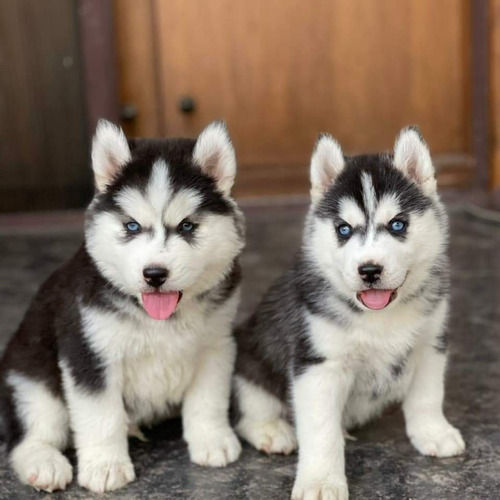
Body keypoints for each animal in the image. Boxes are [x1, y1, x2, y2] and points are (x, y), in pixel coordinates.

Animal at [0, 121, 245, 492]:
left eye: (187, 226)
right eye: (132, 226)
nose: (155, 274)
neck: (160, 318)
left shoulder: (215, 345)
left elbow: (208, 398)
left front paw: (212, 439)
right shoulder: (89, 353)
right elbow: (101, 415)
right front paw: (105, 465)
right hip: (31, 377)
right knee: (29, 434)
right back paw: (44, 463)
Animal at [234, 128, 464, 500]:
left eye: (397, 224)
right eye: (343, 229)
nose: (369, 270)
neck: (381, 317)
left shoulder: (431, 343)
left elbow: (428, 395)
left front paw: (433, 432)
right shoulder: (319, 365)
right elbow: (320, 431)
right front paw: (320, 481)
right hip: (249, 359)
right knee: (249, 408)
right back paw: (271, 430)